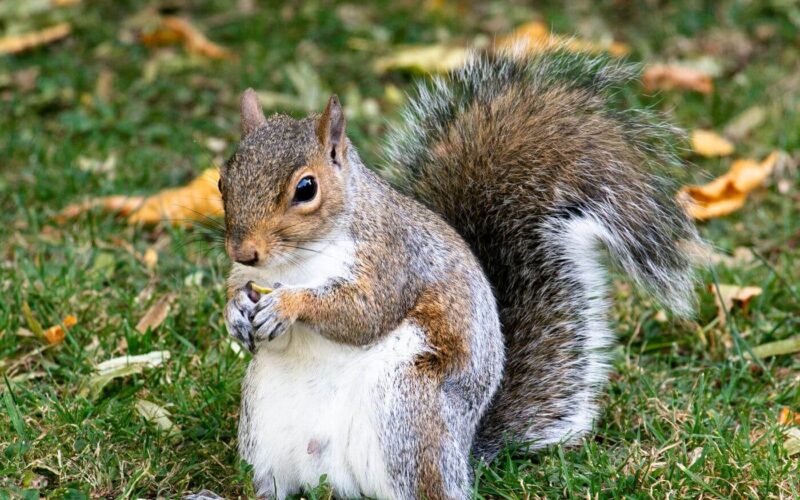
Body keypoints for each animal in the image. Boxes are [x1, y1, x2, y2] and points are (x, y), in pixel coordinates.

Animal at [220, 48, 700, 499]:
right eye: (224, 181)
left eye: (306, 188)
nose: (243, 250)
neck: (297, 261)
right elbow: (240, 291)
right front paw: (235, 311)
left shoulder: (394, 258)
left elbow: (365, 313)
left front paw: (288, 304)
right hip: (263, 423)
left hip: (410, 411)